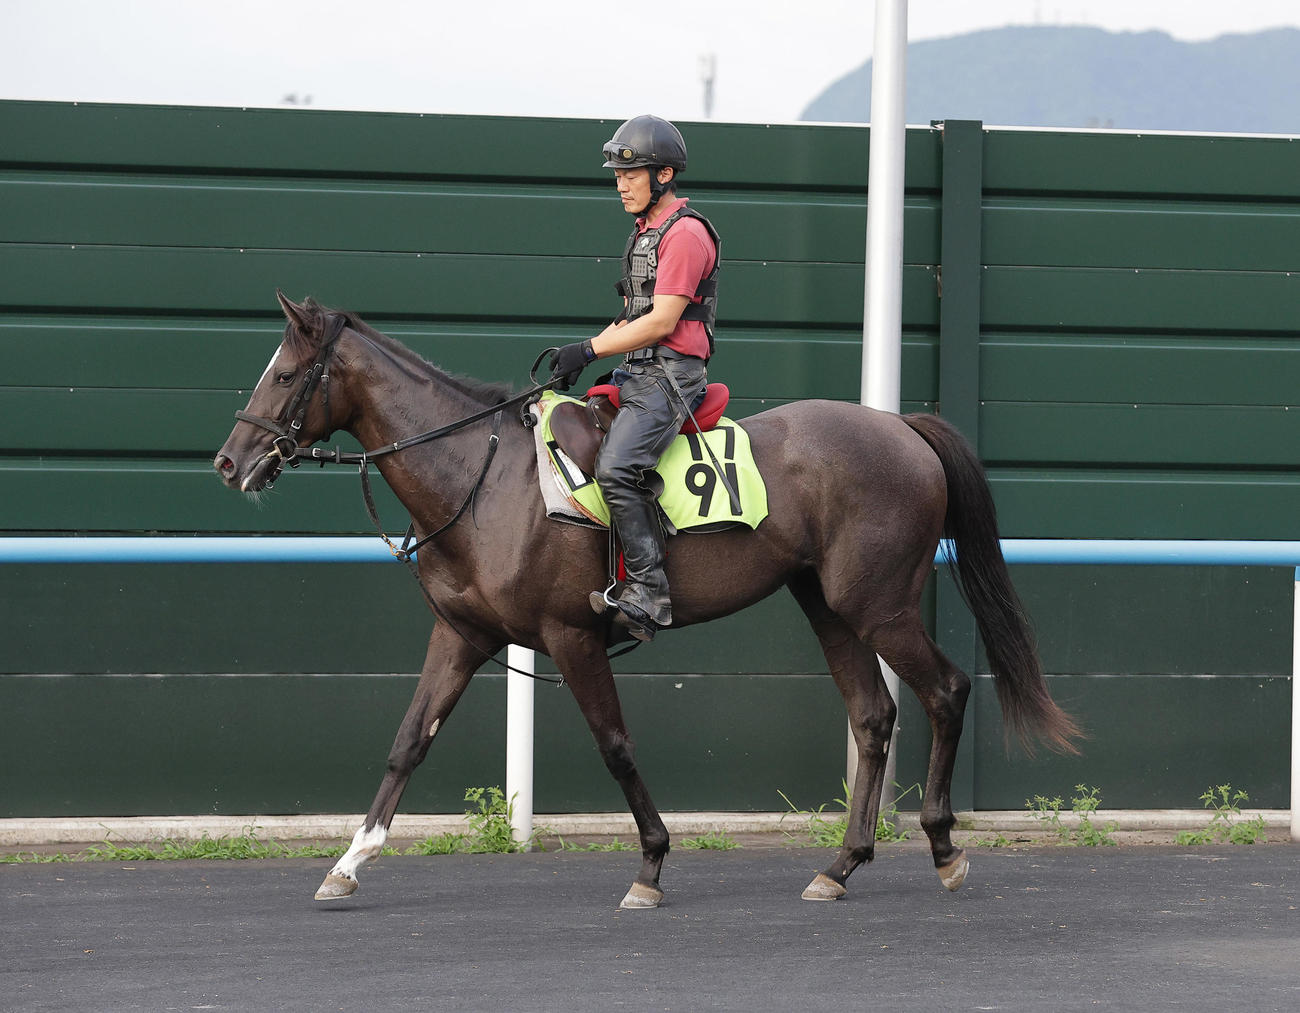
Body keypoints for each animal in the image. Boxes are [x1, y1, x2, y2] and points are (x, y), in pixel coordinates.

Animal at [214, 293, 1080, 909]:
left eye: (284, 375)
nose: (229, 461)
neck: (483, 477)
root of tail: (903, 429)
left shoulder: (571, 635)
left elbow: (616, 745)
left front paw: (652, 864)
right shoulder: (460, 634)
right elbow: (408, 741)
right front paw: (349, 861)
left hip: (880, 605)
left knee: (946, 689)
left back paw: (944, 847)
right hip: (827, 603)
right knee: (873, 715)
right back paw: (840, 865)